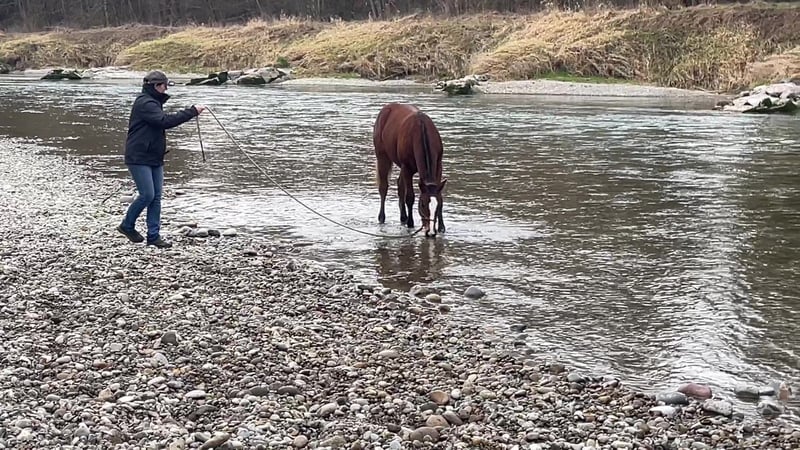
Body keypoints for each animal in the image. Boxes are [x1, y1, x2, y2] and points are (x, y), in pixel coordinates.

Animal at [373, 102, 447, 237]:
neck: (420, 131)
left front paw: (441, 227)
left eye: (438, 205)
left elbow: (439, 194)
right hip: (382, 156)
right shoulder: (407, 168)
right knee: (383, 188)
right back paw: (382, 217)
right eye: (422, 204)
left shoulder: (438, 166)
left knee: (400, 185)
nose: (431, 232)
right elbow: (410, 197)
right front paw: (411, 223)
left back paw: (403, 217)